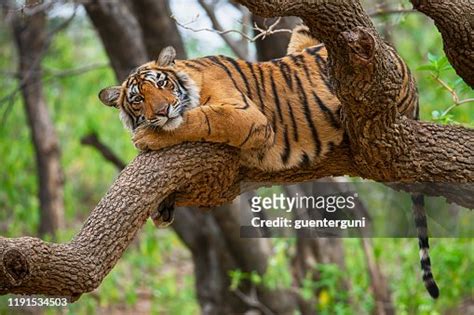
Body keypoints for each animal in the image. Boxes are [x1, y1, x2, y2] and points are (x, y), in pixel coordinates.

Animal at [100, 24, 440, 298]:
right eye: (137, 99)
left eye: (162, 84)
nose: (161, 111)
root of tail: (406, 69)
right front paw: (163, 206)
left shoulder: (246, 115)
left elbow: (196, 120)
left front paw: (148, 136)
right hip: (303, 34)